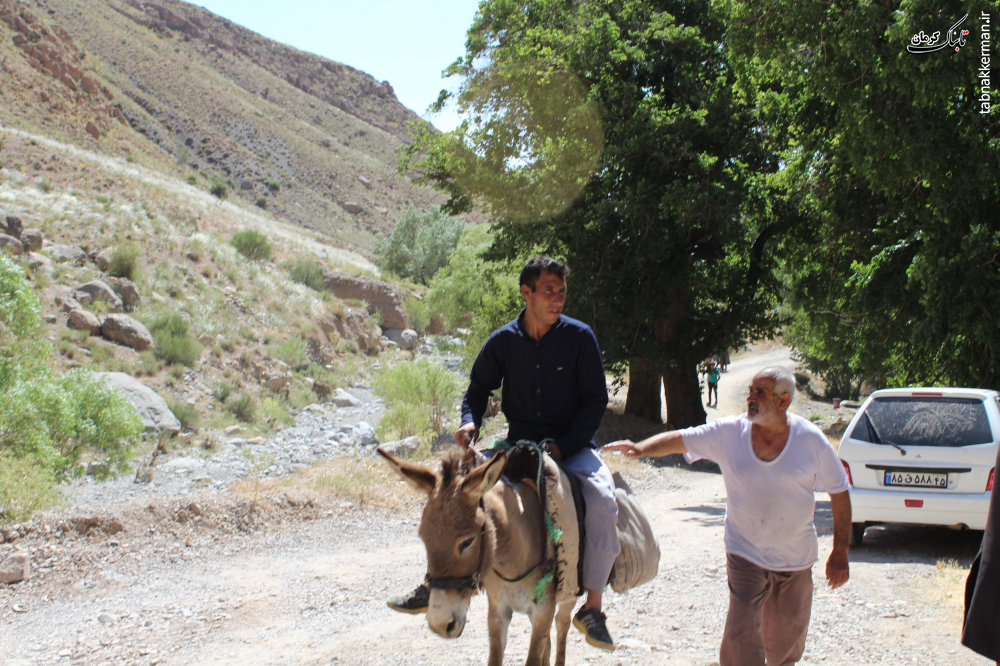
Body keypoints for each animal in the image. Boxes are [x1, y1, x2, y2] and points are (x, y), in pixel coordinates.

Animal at [377, 446, 579, 666]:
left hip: (567, 594)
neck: (512, 561)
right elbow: (496, 657)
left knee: (562, 626)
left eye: (467, 542)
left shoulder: (543, 609)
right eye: (423, 538)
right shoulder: (498, 610)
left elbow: (535, 656)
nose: (441, 624)